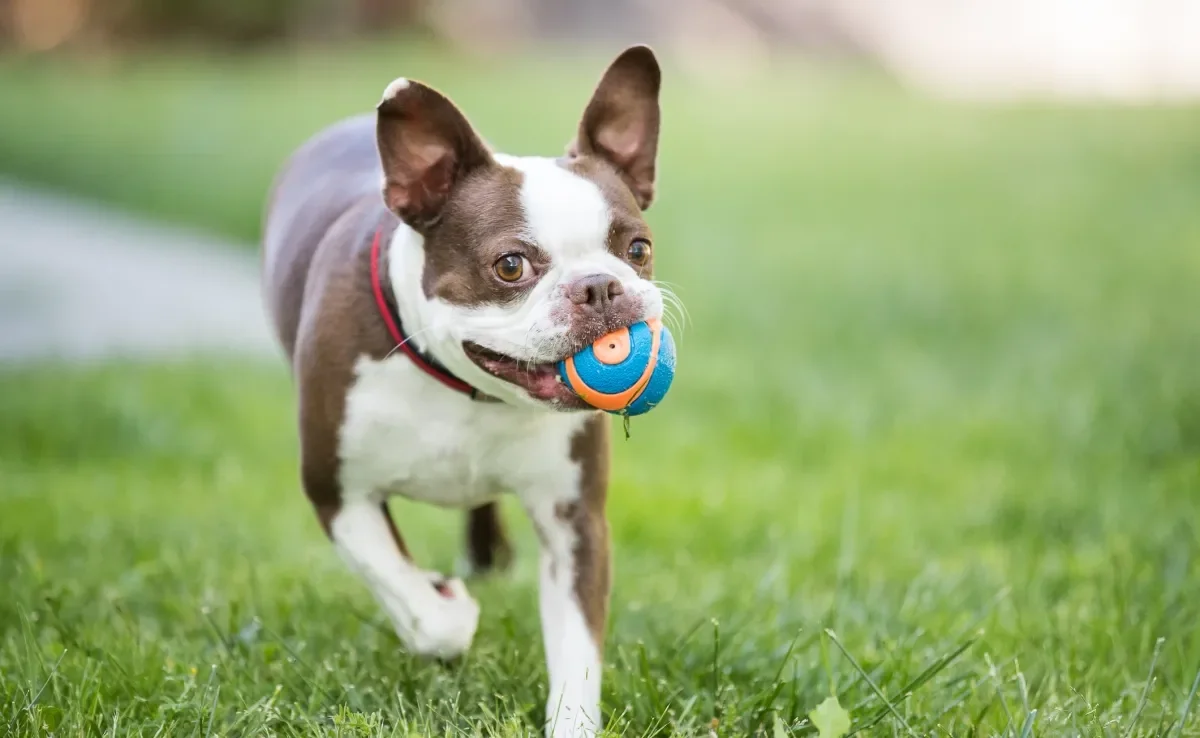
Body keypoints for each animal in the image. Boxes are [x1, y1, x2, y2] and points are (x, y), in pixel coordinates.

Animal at [260, 46, 667, 738]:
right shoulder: (338, 492)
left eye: (637, 249)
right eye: (511, 266)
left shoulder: (575, 521)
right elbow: (419, 606)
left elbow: (577, 650)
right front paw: (446, 603)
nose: (600, 286)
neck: (466, 388)